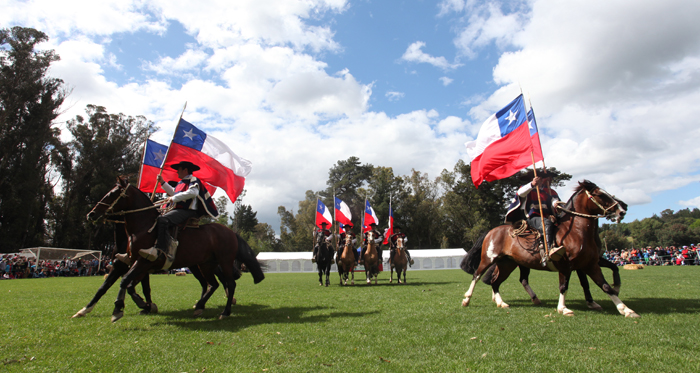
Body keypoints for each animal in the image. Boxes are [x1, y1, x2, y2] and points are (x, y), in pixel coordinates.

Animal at [87, 176, 262, 322]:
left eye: (113, 194)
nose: (92, 214)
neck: (144, 227)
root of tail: (231, 232)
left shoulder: (143, 262)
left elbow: (126, 282)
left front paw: (122, 309)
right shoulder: (133, 263)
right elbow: (123, 285)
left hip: (224, 262)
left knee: (229, 284)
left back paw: (225, 311)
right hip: (205, 264)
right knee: (212, 284)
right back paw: (199, 306)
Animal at [460, 180, 640, 316]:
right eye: (600, 194)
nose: (622, 209)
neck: (577, 231)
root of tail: (491, 231)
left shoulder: (590, 264)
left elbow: (605, 285)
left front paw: (625, 309)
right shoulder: (566, 266)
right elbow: (564, 286)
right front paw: (563, 308)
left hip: (508, 264)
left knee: (496, 282)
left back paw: (502, 302)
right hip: (489, 259)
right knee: (477, 275)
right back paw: (467, 299)